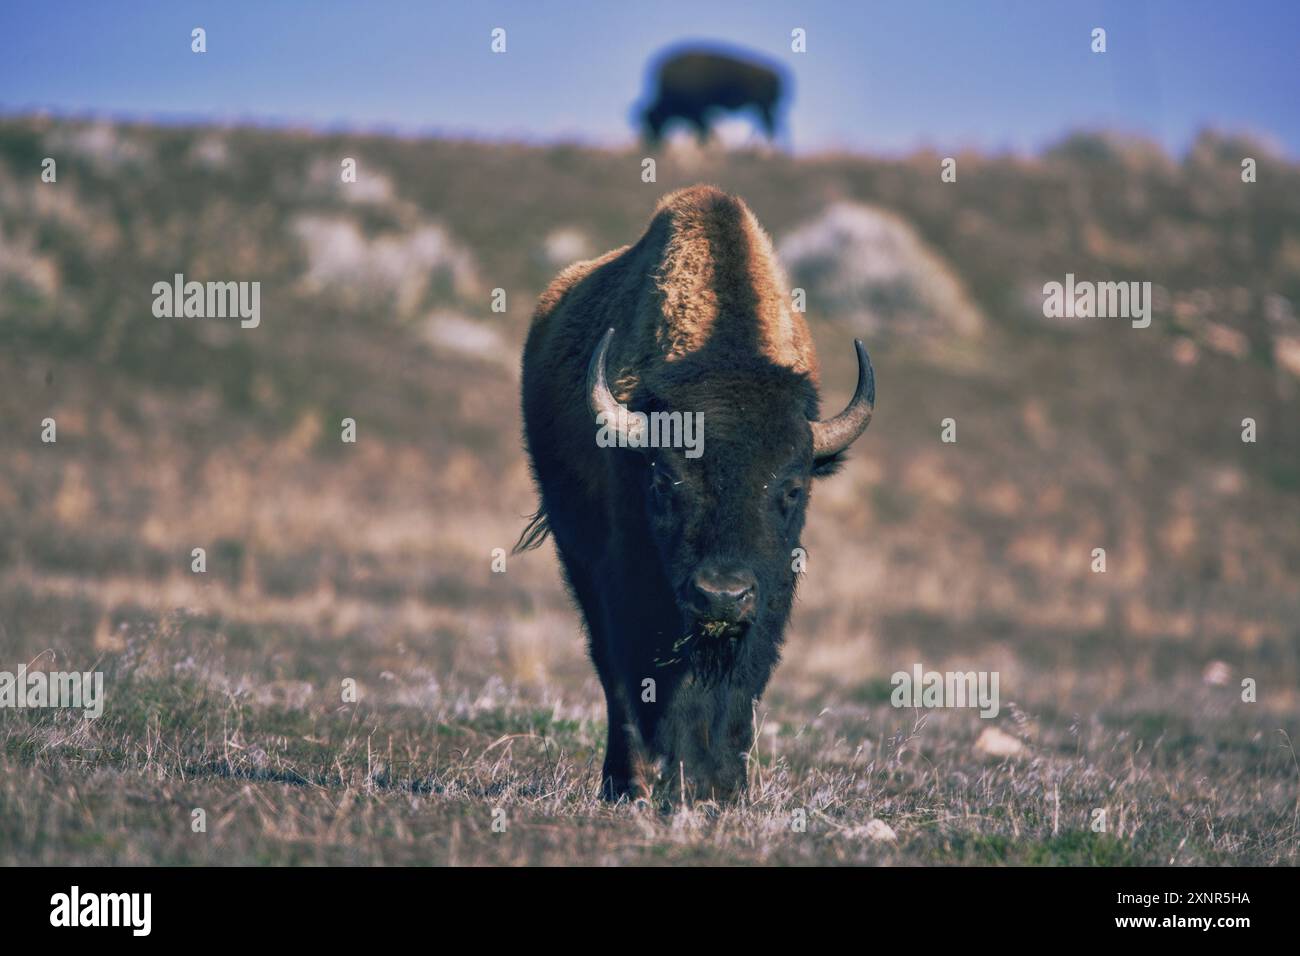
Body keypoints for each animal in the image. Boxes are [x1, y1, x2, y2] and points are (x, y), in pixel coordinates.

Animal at [517, 185, 874, 801]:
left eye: (792, 488)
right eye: (664, 480)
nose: (721, 595)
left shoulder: (771, 590)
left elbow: (739, 685)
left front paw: (721, 785)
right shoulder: (630, 579)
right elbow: (642, 674)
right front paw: (664, 781)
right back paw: (626, 781)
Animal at [639, 47, 787, 146]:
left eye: (653, 119)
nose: (650, 143)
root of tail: (777, 74)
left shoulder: (696, 112)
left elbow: (702, 128)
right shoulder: (696, 113)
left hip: (763, 106)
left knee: (770, 125)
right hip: (762, 107)